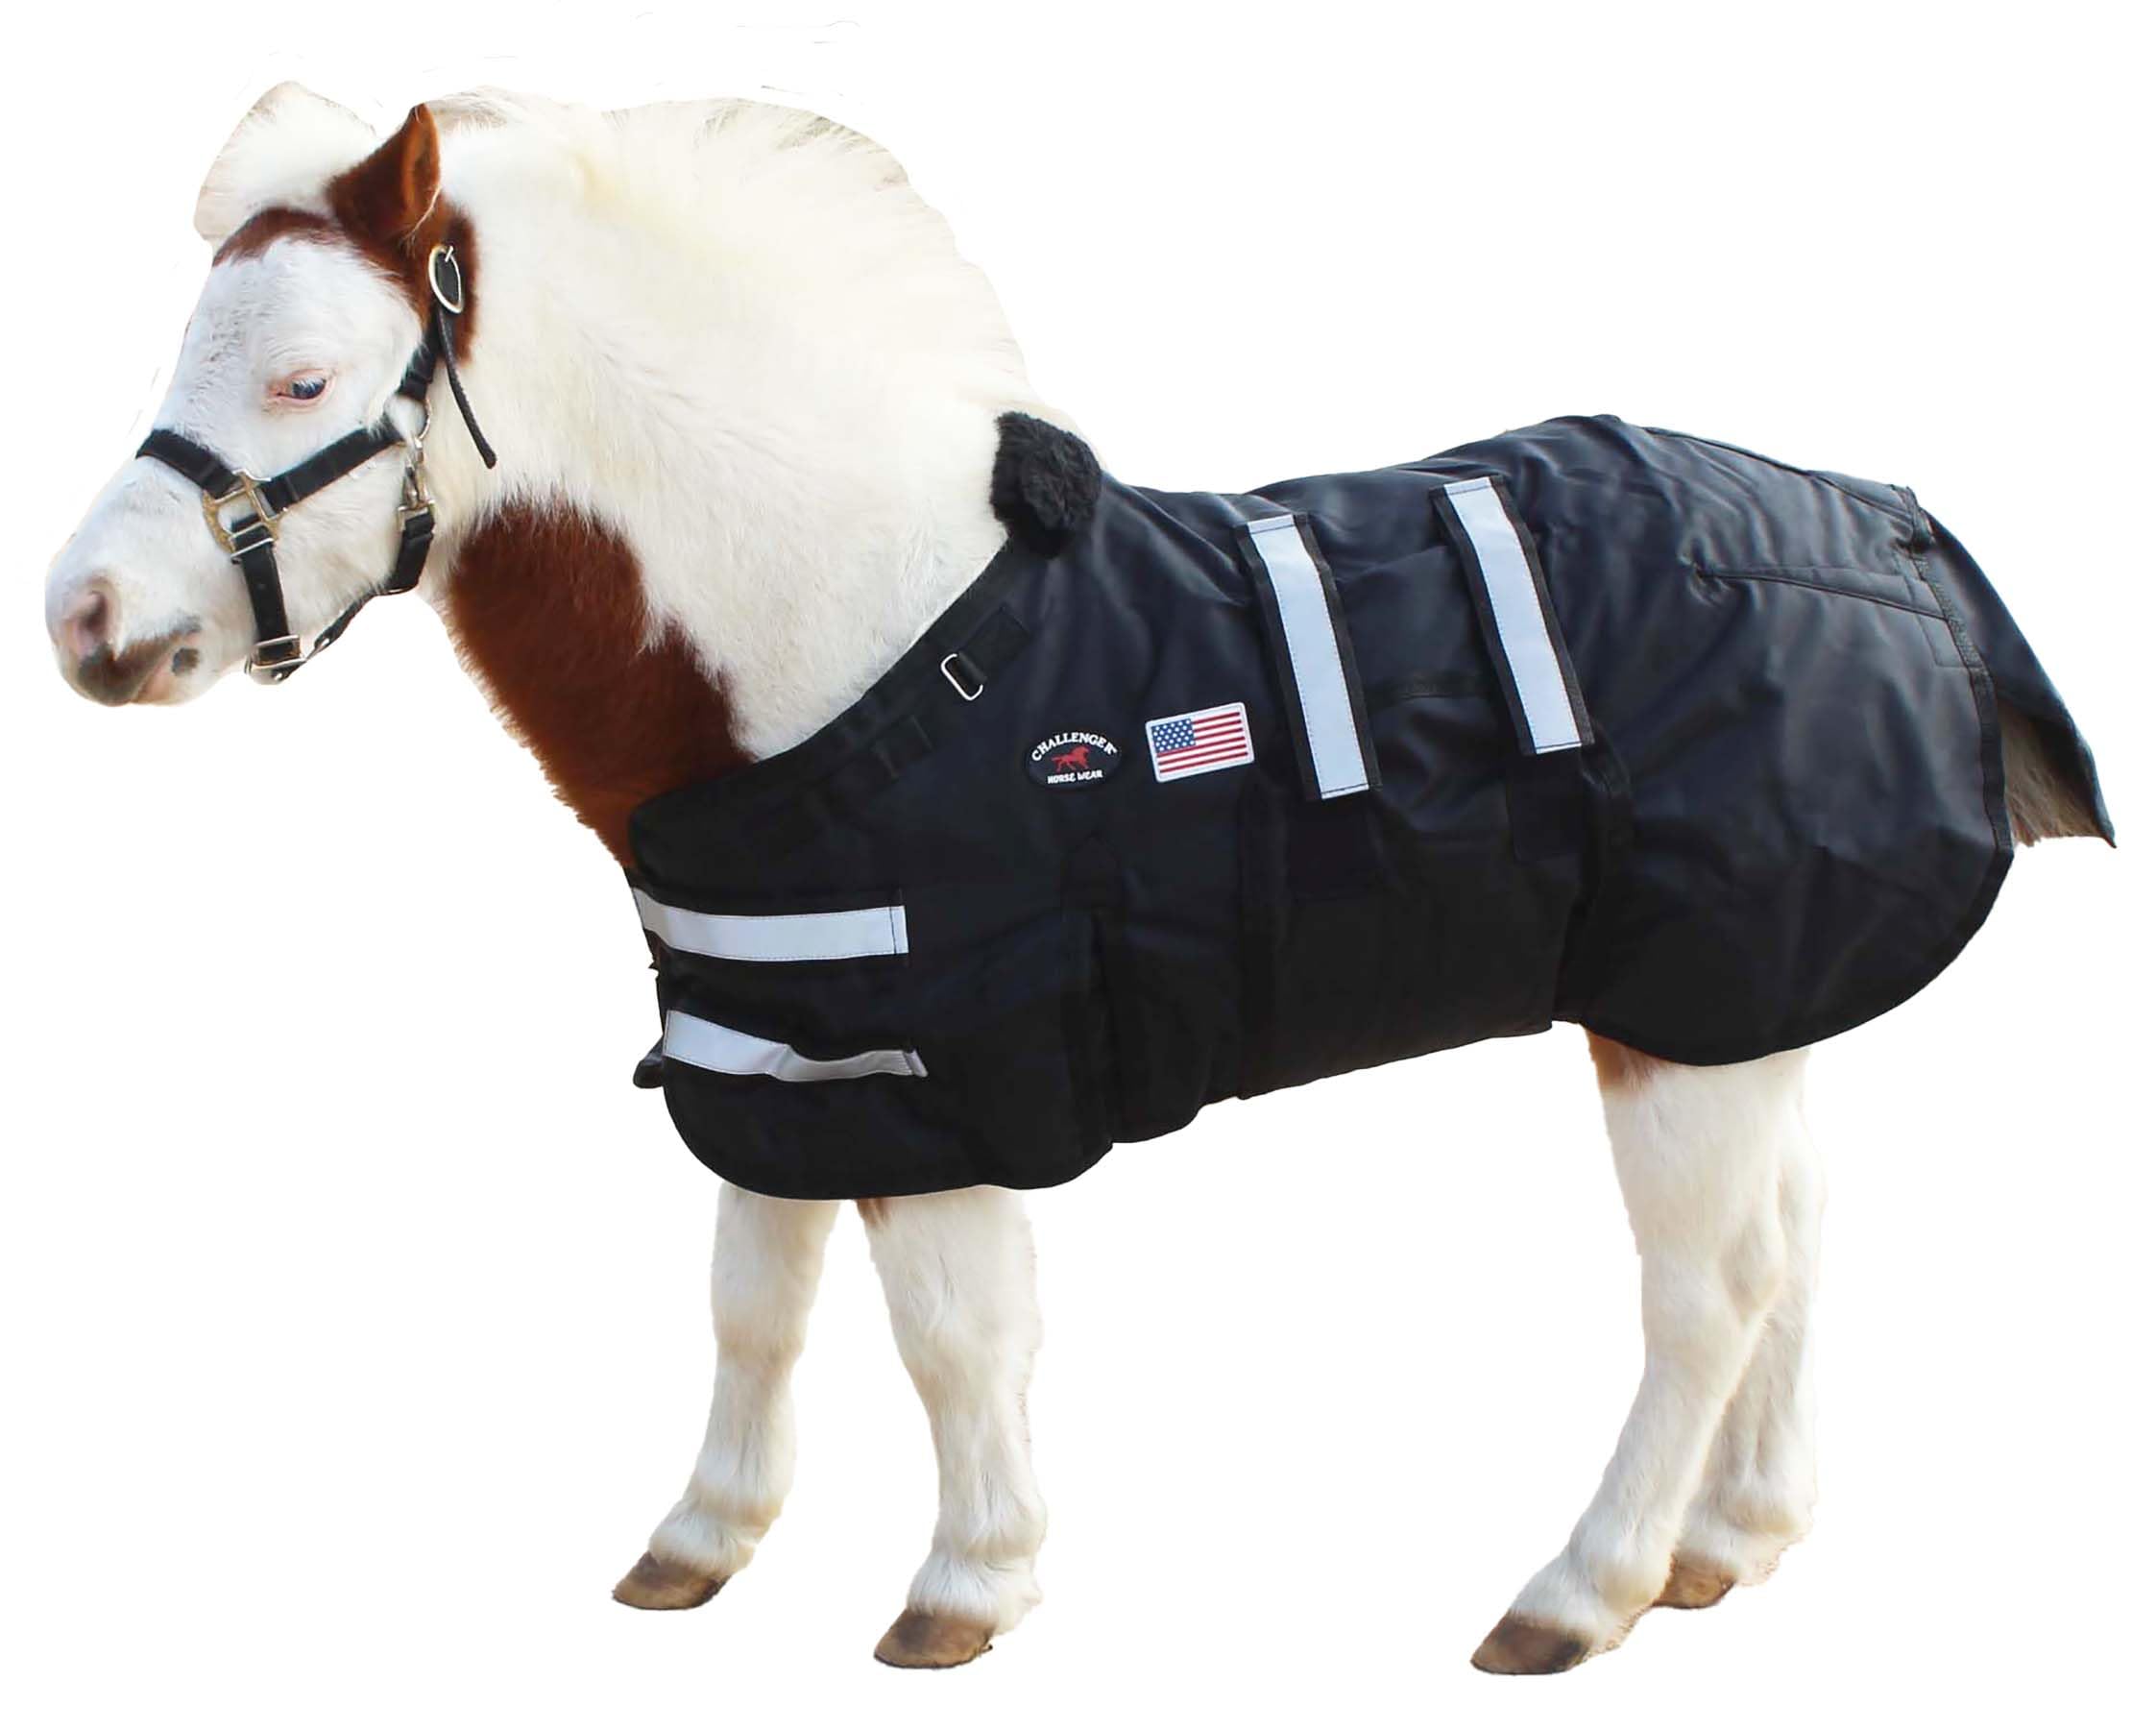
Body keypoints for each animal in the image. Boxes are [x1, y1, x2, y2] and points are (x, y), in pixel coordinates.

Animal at [42, 85, 2110, 1675]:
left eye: (303, 376)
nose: (84, 622)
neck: (846, 639)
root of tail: (1893, 531)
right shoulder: (783, 1046)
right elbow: (752, 1303)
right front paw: (701, 1541)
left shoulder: (948, 1071)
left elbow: (956, 1338)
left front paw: (969, 1586)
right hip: (1735, 1009)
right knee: (1796, 1244)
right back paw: (1731, 1544)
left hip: (1680, 1016)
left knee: (1705, 1290)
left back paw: (1581, 1589)